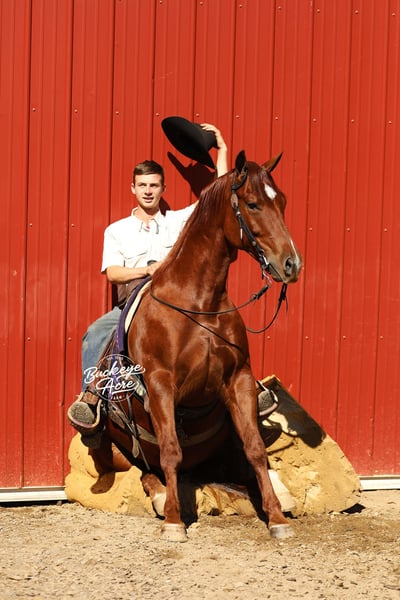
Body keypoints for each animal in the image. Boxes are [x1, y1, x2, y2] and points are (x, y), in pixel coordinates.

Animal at [83, 150, 302, 542]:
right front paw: (174, 522)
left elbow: (256, 449)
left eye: (283, 202)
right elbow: (170, 450)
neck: (199, 304)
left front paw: (277, 517)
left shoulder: (239, 380)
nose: (291, 264)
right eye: (253, 204)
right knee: (145, 470)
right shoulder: (160, 384)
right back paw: (160, 497)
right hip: (114, 449)